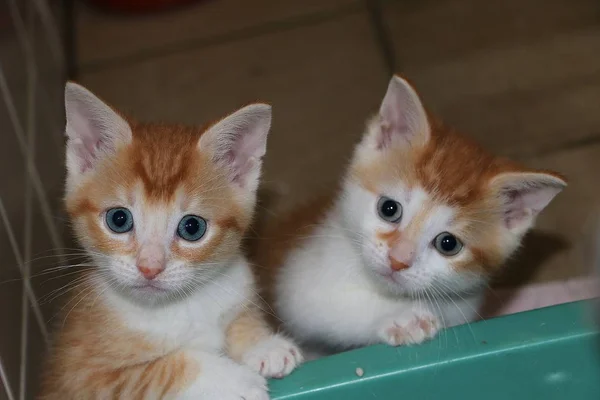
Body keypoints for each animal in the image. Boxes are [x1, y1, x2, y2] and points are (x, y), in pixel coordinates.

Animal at [41, 83, 302, 398]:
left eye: (192, 227)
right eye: (119, 219)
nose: (149, 267)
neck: (178, 305)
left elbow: (240, 315)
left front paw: (264, 344)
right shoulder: (80, 378)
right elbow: (161, 370)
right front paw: (235, 379)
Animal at [253, 76, 568, 352]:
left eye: (448, 244)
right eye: (389, 209)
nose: (398, 260)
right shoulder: (298, 278)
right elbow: (326, 307)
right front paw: (401, 317)